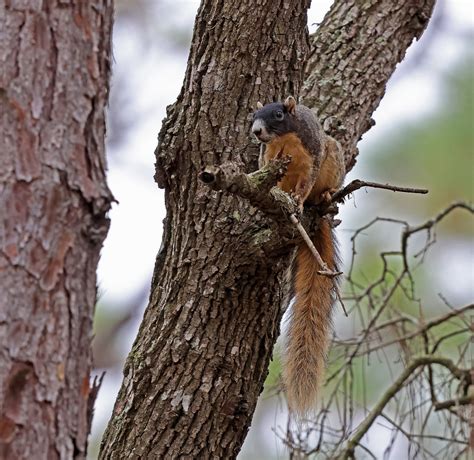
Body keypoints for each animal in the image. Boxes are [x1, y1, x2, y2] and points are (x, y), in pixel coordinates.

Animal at [252, 97, 344, 416]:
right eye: (252, 115)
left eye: (279, 114)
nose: (256, 131)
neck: (284, 139)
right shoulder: (267, 160)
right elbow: (269, 176)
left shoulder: (312, 156)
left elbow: (307, 182)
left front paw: (300, 201)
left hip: (332, 157)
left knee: (320, 191)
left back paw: (325, 196)